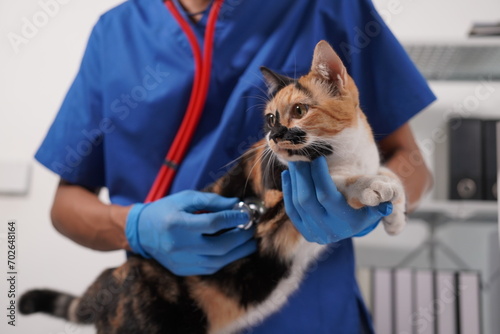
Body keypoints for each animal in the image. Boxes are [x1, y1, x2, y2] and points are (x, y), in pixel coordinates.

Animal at [21, 41, 408, 334]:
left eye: (299, 110)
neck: (344, 154)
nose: (274, 135)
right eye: (270, 118)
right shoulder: (275, 195)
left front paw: (394, 216)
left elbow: (394, 176)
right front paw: (369, 188)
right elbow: (342, 182)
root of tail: (111, 280)